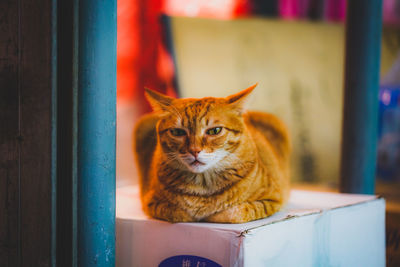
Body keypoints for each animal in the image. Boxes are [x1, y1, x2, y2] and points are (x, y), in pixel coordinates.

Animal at [134, 85, 290, 223]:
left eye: (214, 131)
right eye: (177, 132)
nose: (194, 150)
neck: (203, 184)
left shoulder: (273, 199)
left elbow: (235, 212)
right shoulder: (151, 202)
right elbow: (179, 214)